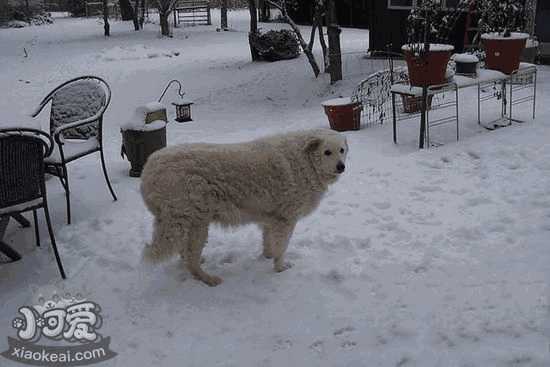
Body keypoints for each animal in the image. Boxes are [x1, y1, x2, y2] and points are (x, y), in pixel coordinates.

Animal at [141, 129, 350, 288]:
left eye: (341, 150)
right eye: (327, 152)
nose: (341, 167)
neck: (304, 161)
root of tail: (147, 171)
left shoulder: (271, 218)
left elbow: (269, 243)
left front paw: (267, 257)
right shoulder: (286, 220)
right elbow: (282, 247)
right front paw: (280, 268)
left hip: (186, 223)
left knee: (185, 252)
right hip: (194, 223)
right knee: (190, 259)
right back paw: (208, 279)